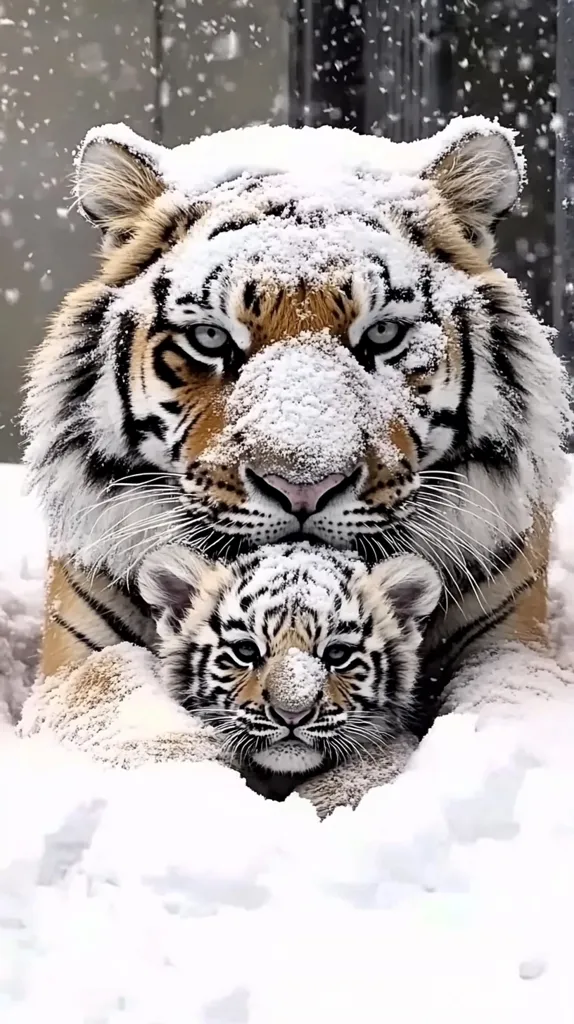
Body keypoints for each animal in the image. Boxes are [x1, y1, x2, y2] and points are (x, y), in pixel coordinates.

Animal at [22, 114, 569, 749]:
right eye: (210, 338)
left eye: (383, 334)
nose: (302, 487)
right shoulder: (75, 662)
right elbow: (118, 707)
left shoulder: (510, 640)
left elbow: (516, 708)